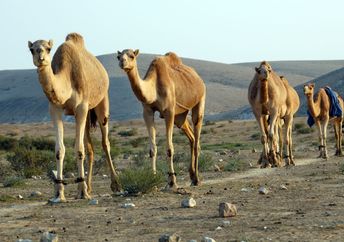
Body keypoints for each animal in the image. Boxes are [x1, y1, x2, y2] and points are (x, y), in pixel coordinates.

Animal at [28, 32, 121, 202]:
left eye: (48, 48)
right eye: (32, 49)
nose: (41, 58)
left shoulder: (81, 107)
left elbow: (79, 148)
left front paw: (82, 192)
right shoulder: (55, 108)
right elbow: (60, 149)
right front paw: (59, 193)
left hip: (102, 103)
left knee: (105, 143)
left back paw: (115, 185)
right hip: (87, 114)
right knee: (90, 147)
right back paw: (89, 187)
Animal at [117, 49, 206, 189]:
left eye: (131, 56)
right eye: (118, 56)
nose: (122, 62)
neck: (153, 88)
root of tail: (198, 79)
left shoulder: (169, 111)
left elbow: (169, 148)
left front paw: (172, 181)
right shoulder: (147, 112)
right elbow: (152, 149)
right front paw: (152, 179)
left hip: (200, 100)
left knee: (197, 137)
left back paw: (197, 178)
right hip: (180, 116)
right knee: (191, 137)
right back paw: (192, 176)